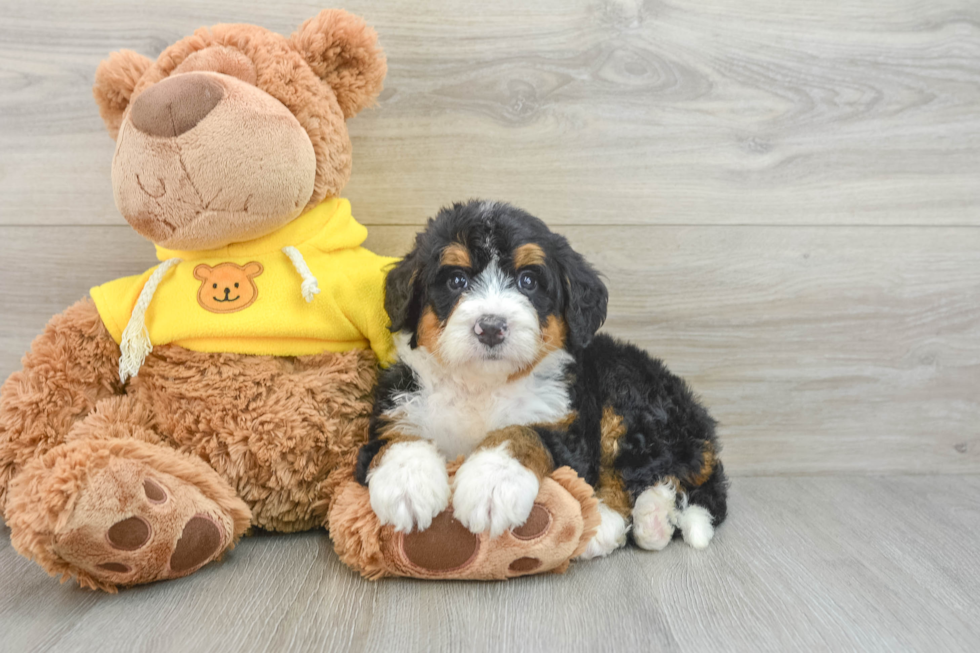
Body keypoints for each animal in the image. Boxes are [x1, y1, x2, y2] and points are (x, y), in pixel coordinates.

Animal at [356, 200, 724, 556]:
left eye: (528, 281)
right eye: (457, 280)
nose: (491, 327)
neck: (482, 384)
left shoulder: (566, 429)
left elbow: (523, 432)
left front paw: (492, 481)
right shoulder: (398, 405)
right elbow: (397, 437)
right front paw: (406, 484)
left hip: (629, 394)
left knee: (645, 471)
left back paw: (629, 521)